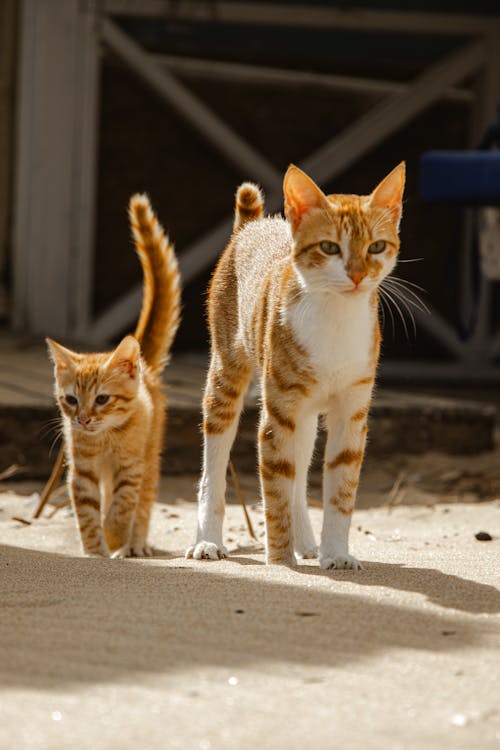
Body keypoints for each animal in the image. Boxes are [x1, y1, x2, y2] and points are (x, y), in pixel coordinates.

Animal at [47, 194, 182, 560]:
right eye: (71, 400)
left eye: (102, 399)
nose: (82, 419)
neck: (106, 438)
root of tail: (146, 368)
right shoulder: (83, 471)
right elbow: (88, 513)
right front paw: (95, 550)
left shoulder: (131, 467)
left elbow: (123, 506)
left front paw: (116, 535)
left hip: (151, 459)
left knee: (144, 503)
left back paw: (135, 543)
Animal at [188, 163, 406, 568]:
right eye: (330, 247)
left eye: (376, 247)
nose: (357, 275)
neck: (336, 316)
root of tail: (252, 225)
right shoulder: (278, 414)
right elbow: (275, 486)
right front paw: (280, 561)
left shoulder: (350, 412)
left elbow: (340, 490)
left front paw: (336, 554)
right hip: (227, 376)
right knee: (216, 463)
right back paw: (208, 540)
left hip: (305, 417)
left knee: (300, 474)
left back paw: (306, 541)